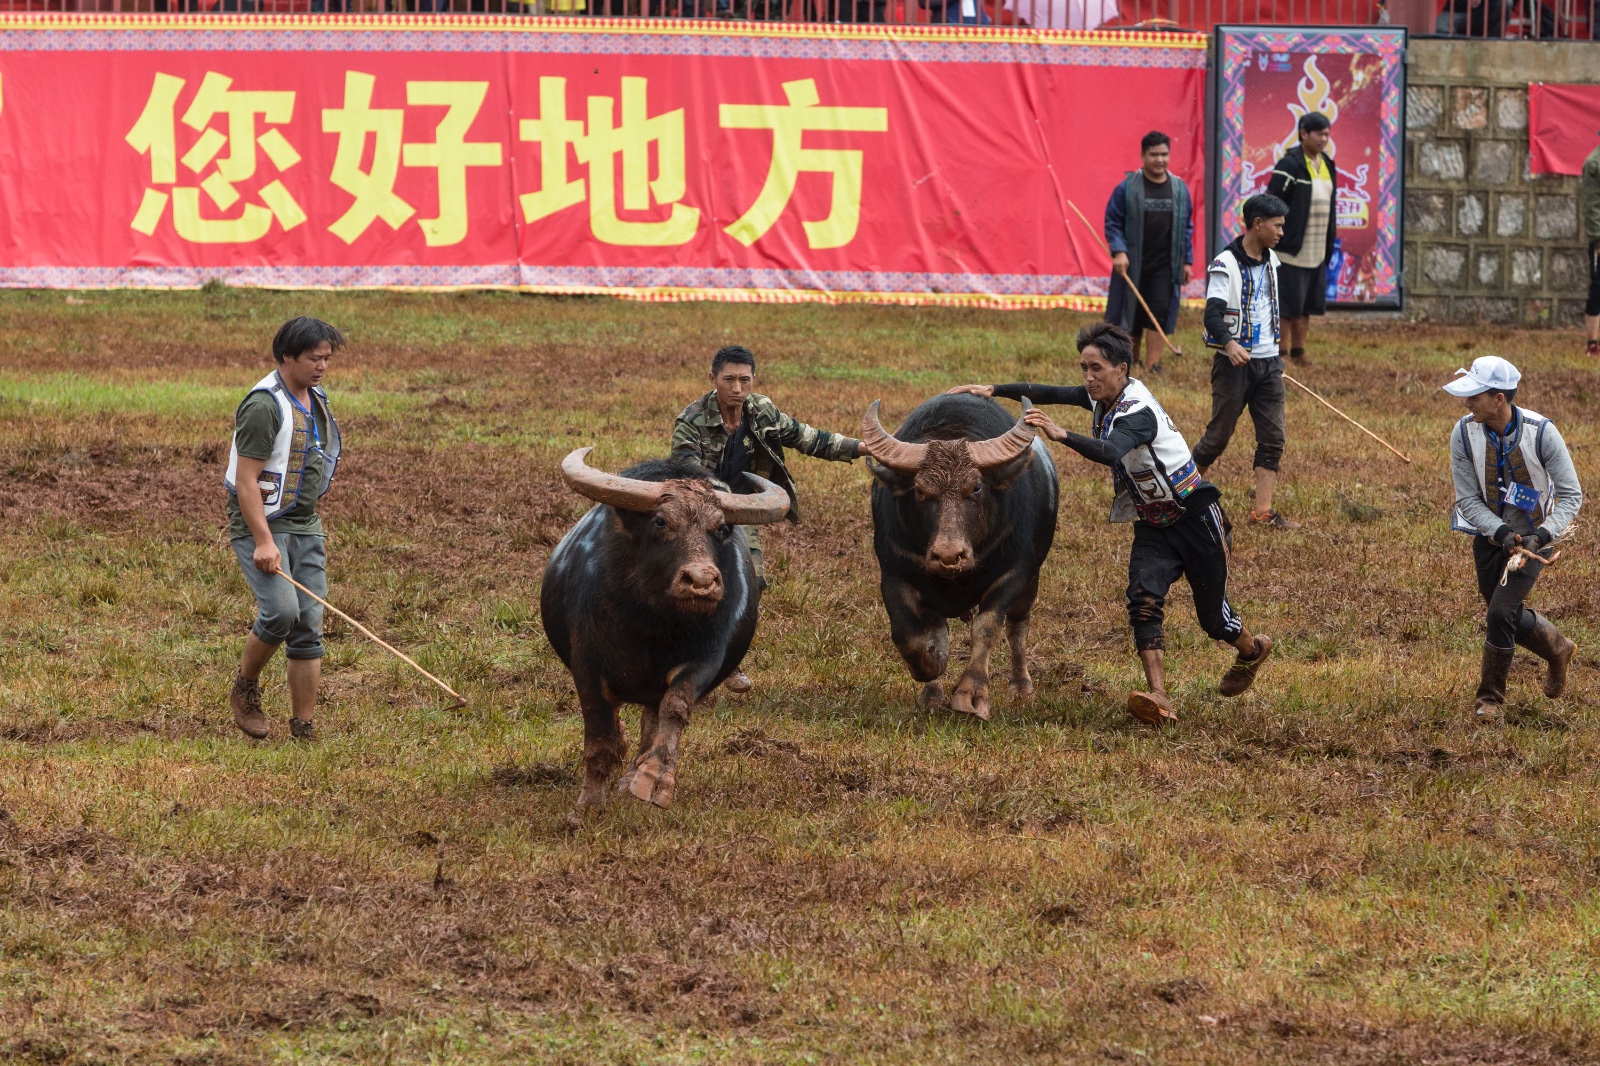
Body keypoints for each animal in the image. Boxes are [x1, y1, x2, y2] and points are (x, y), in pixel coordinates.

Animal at [540, 451, 790, 813]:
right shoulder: (586, 662)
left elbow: (675, 707)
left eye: (721, 528)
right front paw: (588, 804)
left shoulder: (706, 658)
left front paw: (654, 778)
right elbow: (598, 732)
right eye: (660, 522)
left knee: (651, 718)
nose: (701, 581)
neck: (653, 625)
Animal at [864, 393, 1062, 717]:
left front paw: (972, 694)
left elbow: (987, 628)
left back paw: (1021, 686)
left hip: (1031, 581)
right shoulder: (894, 574)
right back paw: (932, 694)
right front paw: (933, 664)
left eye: (977, 487)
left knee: (1018, 626)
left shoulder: (1013, 573)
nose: (948, 556)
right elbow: (909, 636)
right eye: (920, 490)